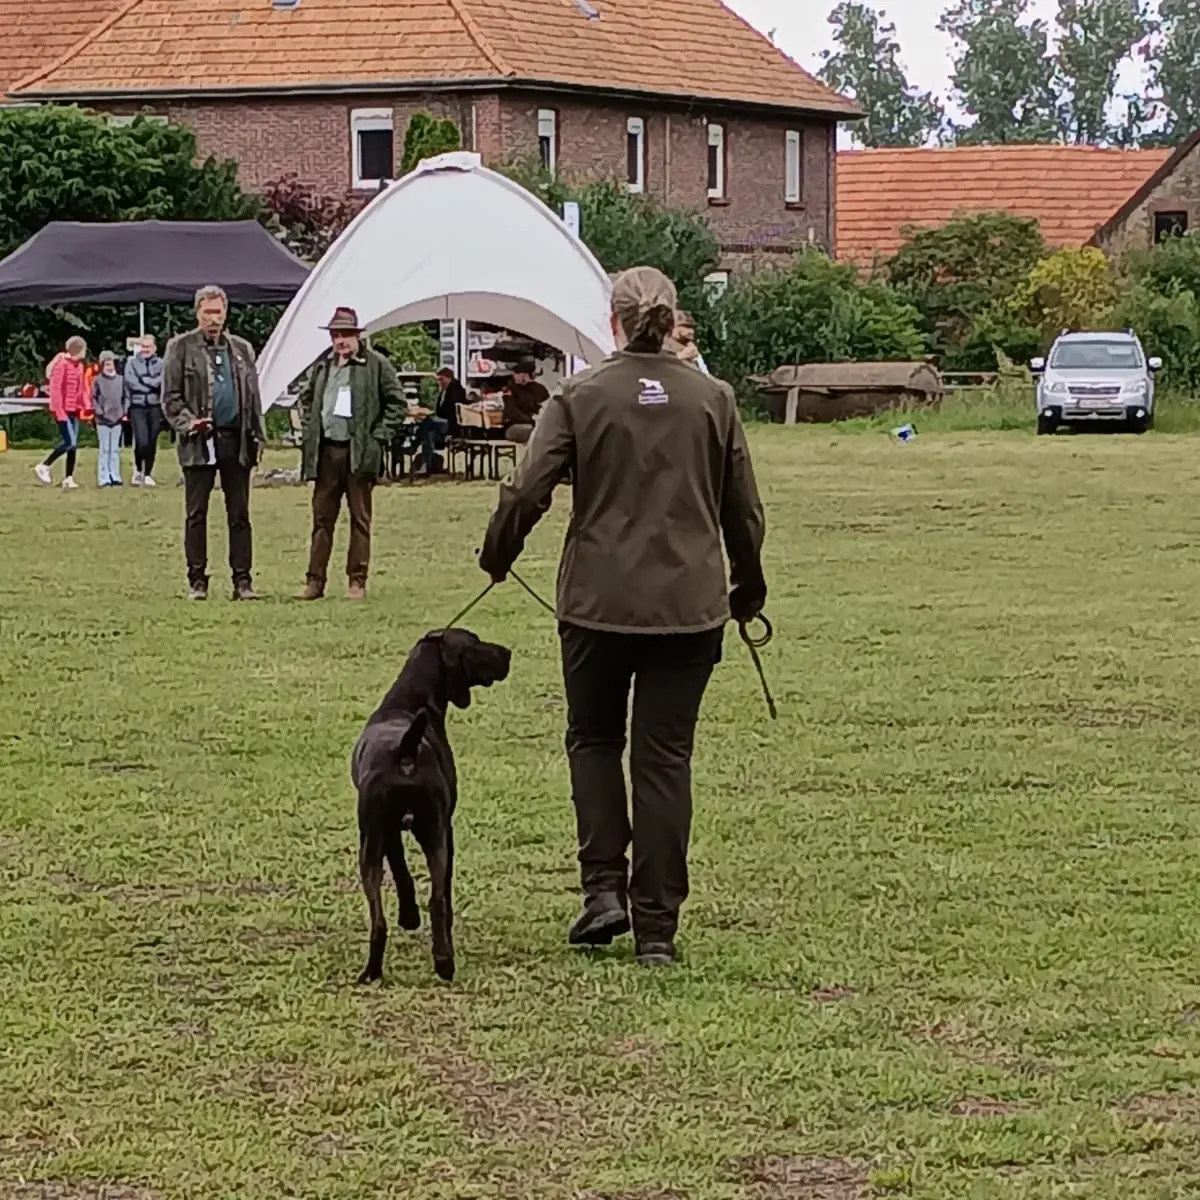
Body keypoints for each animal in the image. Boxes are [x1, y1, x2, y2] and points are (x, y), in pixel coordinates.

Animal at [350, 628, 511, 984]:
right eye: (475, 643)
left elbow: (402, 872)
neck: (407, 702)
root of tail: (406, 750)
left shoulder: (390, 833)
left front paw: (409, 917)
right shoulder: (419, 830)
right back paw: (436, 962)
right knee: (432, 902)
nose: (507, 652)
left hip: (389, 842)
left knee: (390, 916)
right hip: (427, 836)